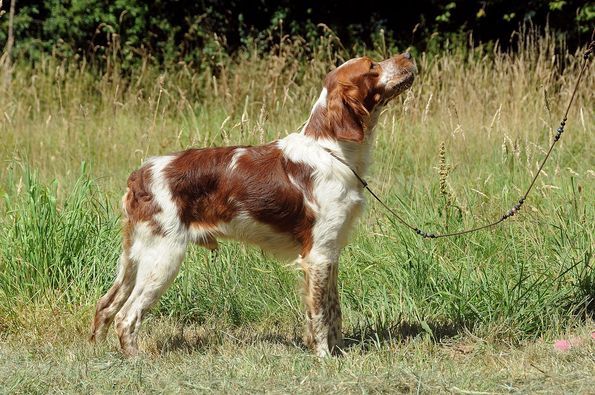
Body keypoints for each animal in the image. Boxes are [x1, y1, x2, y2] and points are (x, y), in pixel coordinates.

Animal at [91, 51, 416, 358]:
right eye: (372, 65)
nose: (409, 55)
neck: (334, 150)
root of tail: (140, 175)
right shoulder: (318, 255)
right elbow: (321, 315)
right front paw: (324, 356)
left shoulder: (331, 252)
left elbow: (334, 311)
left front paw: (339, 352)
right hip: (162, 256)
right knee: (125, 316)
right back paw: (136, 359)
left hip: (134, 256)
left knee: (106, 305)